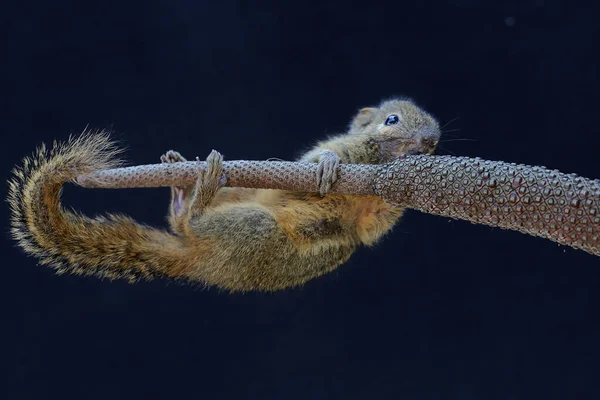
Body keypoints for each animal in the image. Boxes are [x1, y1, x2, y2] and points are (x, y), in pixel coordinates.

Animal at [8, 97, 440, 290]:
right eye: (392, 119)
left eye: (435, 141)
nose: (429, 141)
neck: (374, 163)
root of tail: (197, 261)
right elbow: (319, 168)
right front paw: (329, 164)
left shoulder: (368, 219)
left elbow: (369, 227)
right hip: (254, 224)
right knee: (189, 223)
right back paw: (193, 194)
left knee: (182, 222)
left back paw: (184, 193)